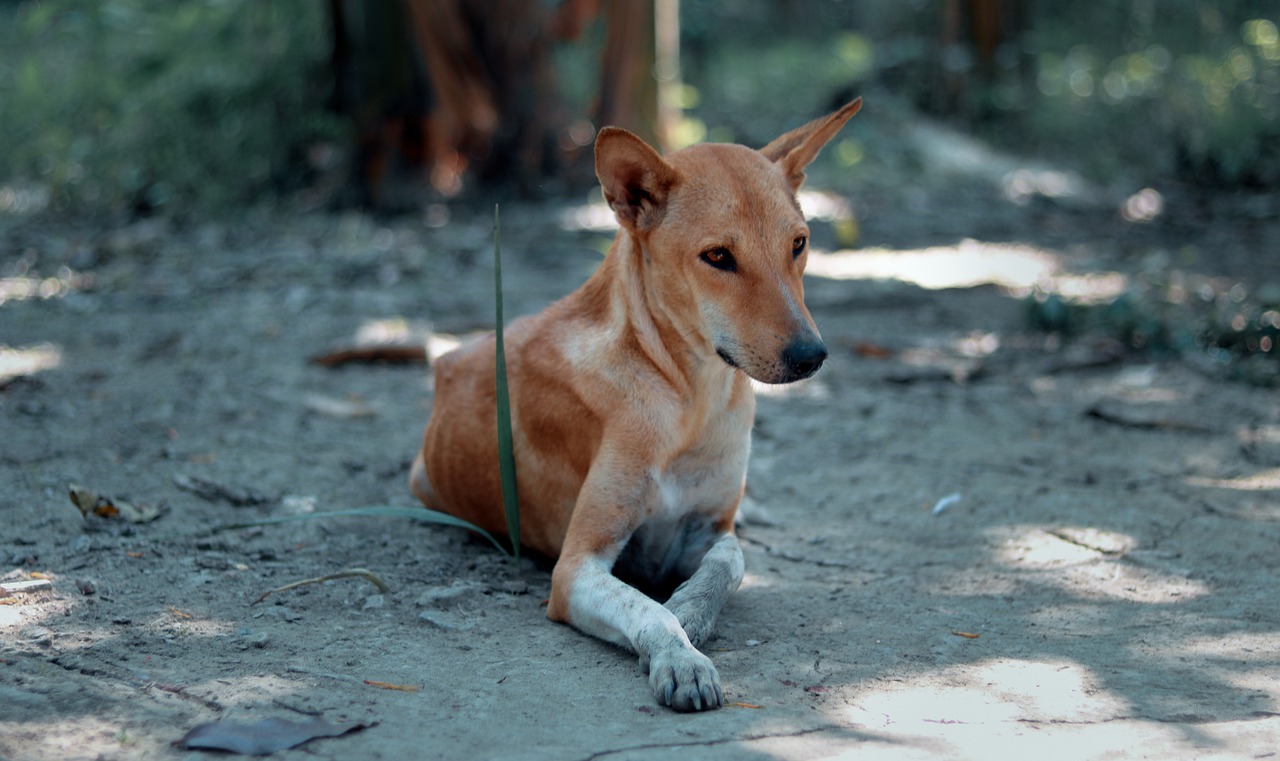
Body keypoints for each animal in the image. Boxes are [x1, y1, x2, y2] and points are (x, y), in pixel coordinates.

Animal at [414, 98, 865, 711]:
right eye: (717, 256)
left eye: (798, 243)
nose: (811, 356)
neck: (690, 398)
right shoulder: (576, 569)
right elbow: (644, 609)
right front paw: (680, 655)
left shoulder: (708, 528)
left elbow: (728, 563)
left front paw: (690, 609)